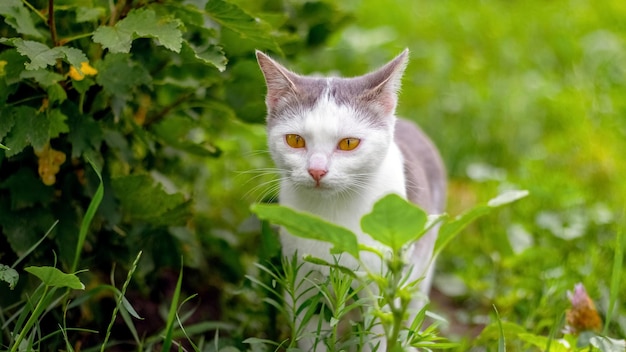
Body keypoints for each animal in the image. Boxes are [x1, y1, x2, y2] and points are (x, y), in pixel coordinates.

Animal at [256, 50, 446, 352]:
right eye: (295, 140)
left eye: (348, 143)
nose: (317, 170)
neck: (333, 215)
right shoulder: (301, 282)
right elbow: (310, 337)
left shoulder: (381, 290)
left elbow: (378, 336)